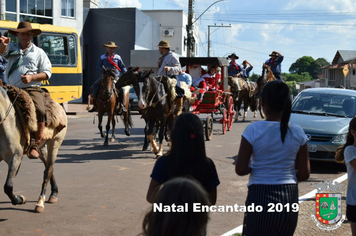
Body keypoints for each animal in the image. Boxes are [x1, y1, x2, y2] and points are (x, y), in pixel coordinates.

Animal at [0, 85, 67, 213]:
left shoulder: (16, 157)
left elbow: (8, 187)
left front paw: (20, 199)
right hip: (41, 149)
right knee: (49, 167)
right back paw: (53, 193)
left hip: (55, 144)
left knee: (48, 171)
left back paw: (40, 203)